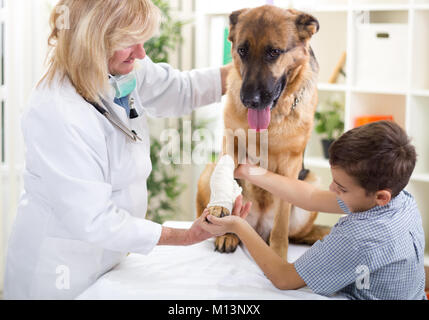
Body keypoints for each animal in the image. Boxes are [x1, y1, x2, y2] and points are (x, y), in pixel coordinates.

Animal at [196, 5, 330, 258]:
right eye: (242, 50)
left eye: (274, 52)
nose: (250, 100)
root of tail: (257, 230)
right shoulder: (231, 145)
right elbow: (228, 179)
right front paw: (220, 209)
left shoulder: (290, 166)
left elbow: (281, 221)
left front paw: (277, 254)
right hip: (207, 172)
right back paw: (229, 234)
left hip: (312, 183)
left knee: (296, 234)